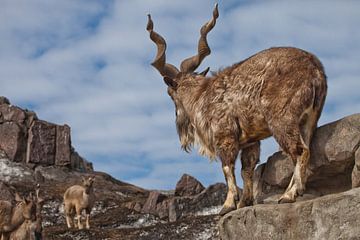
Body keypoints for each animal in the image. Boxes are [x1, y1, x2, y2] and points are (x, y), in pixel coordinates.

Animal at [146, 2, 326, 215]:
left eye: (169, 93)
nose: (177, 117)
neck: (201, 94)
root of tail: (314, 68)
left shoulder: (225, 135)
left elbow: (227, 168)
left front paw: (228, 205)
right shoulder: (250, 142)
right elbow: (246, 169)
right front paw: (245, 202)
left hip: (282, 119)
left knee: (299, 151)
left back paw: (289, 195)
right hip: (309, 120)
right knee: (305, 149)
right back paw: (291, 192)